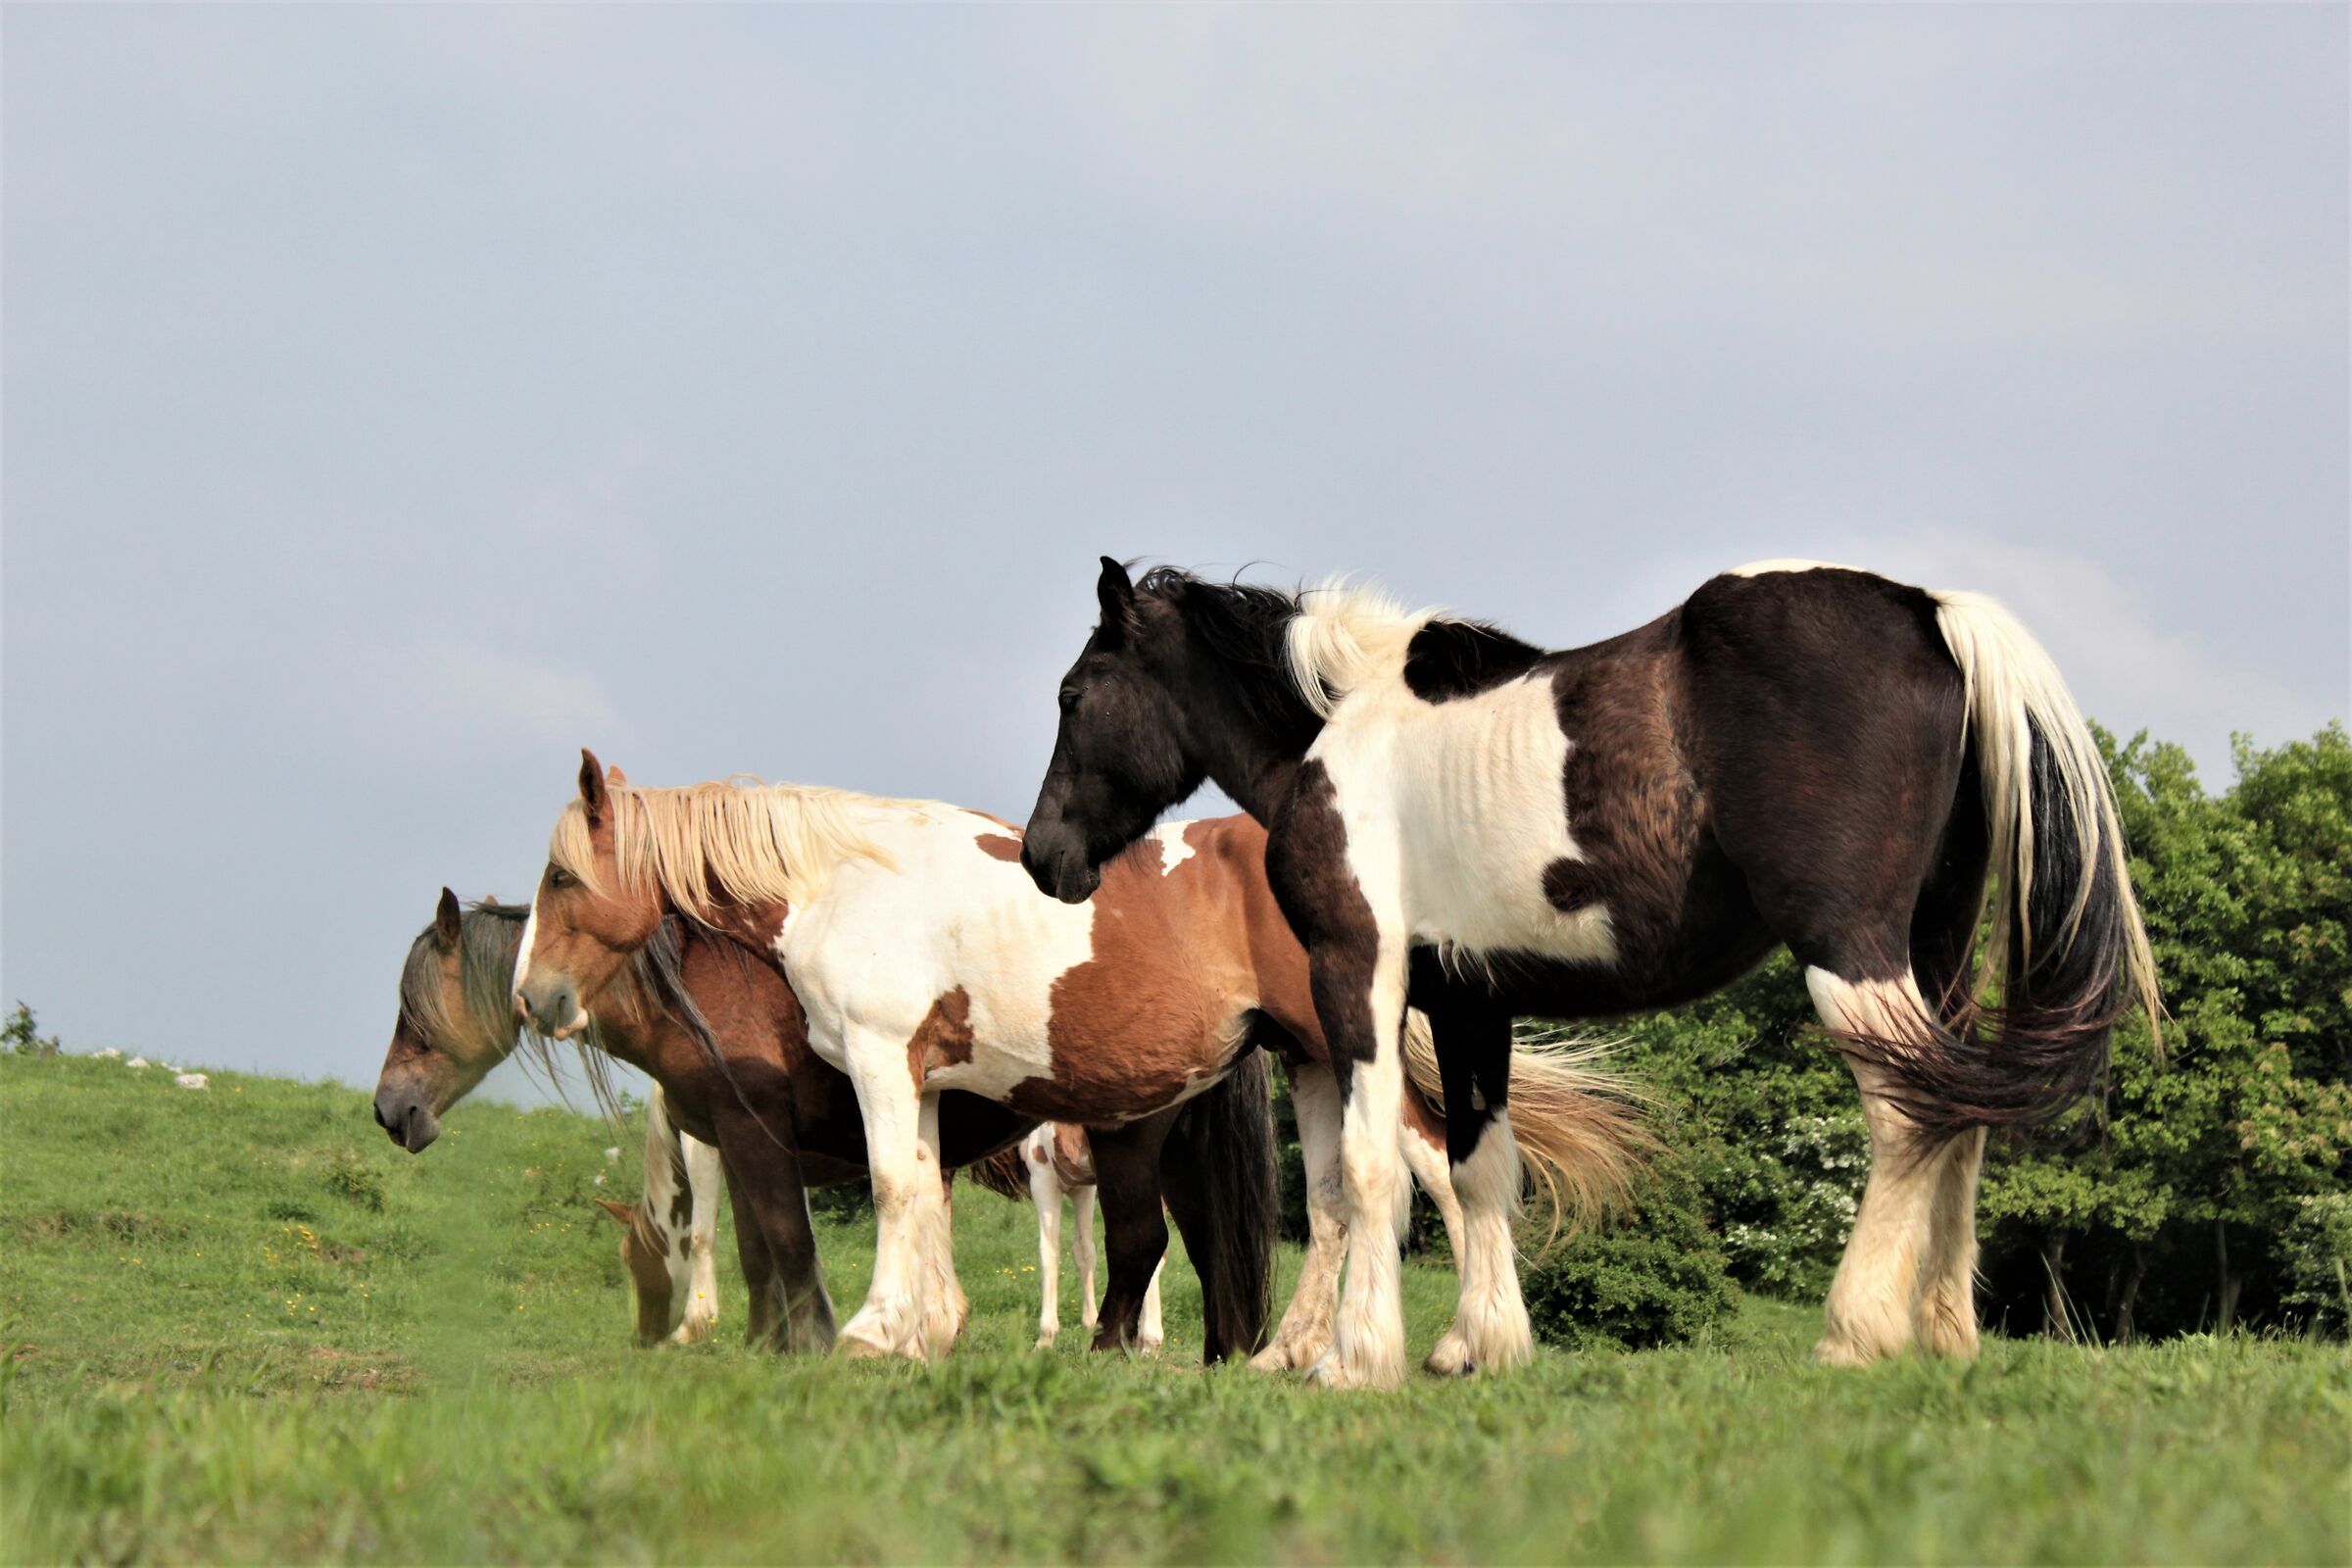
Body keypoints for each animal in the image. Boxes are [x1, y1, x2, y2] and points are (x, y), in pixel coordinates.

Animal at [513, 764, 1644, 1367]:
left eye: (562, 876)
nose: (532, 997)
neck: (847, 881)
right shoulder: (924, 1083)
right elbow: (920, 1194)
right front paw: (926, 1332)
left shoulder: (878, 1065)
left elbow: (886, 1192)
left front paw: (872, 1332)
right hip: (1313, 1066)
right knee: (1335, 1206)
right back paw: (1290, 1351)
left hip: (1348, 1059)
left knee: (1440, 1177)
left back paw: (1466, 1346)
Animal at [1021, 557, 2161, 1387]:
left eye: (1076, 693)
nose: (1043, 856)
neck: (1336, 732)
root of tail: (1928, 613)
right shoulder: (1470, 1003)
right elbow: (1480, 1170)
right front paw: (1481, 1345)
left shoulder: (1362, 981)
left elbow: (1370, 1172)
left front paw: (1354, 1359)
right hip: (1937, 956)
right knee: (1961, 1115)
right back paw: (1945, 1333)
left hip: (1854, 954)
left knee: (1908, 1114)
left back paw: (1857, 1329)